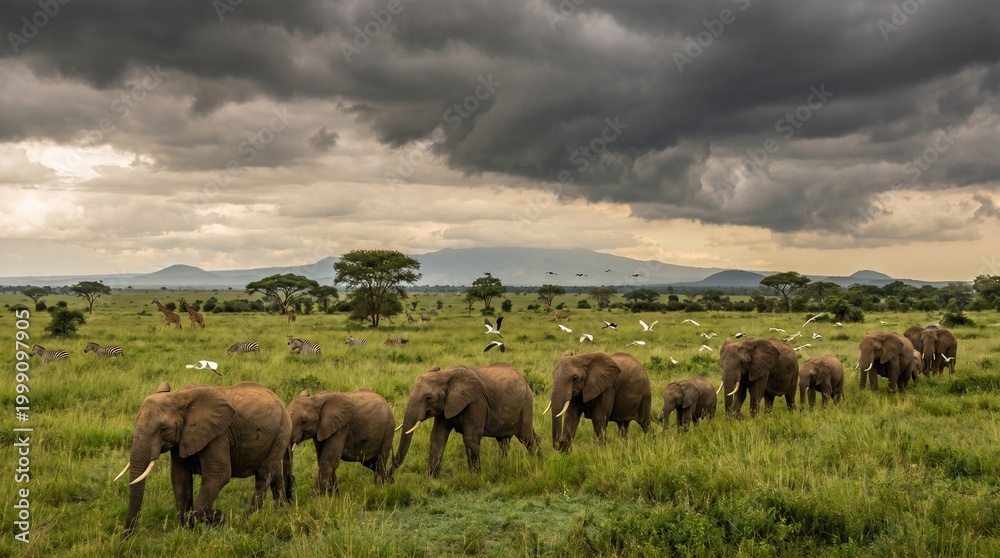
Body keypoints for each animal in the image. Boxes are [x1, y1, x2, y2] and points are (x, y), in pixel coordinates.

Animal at [118, 381, 292, 537]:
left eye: (163, 429)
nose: (126, 537)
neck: (178, 397)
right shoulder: (182, 440)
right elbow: (180, 479)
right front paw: (187, 532)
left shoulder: (218, 436)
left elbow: (219, 475)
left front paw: (219, 518)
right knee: (275, 474)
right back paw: (281, 512)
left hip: (282, 430)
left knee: (263, 475)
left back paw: (249, 520)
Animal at [393, 363, 538, 477]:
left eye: (428, 398)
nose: (391, 473)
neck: (445, 375)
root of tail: (523, 378)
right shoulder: (445, 407)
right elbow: (437, 437)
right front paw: (431, 479)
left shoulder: (476, 401)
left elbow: (470, 438)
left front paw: (475, 477)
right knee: (504, 441)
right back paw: (503, 465)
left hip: (526, 403)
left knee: (526, 438)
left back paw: (537, 462)